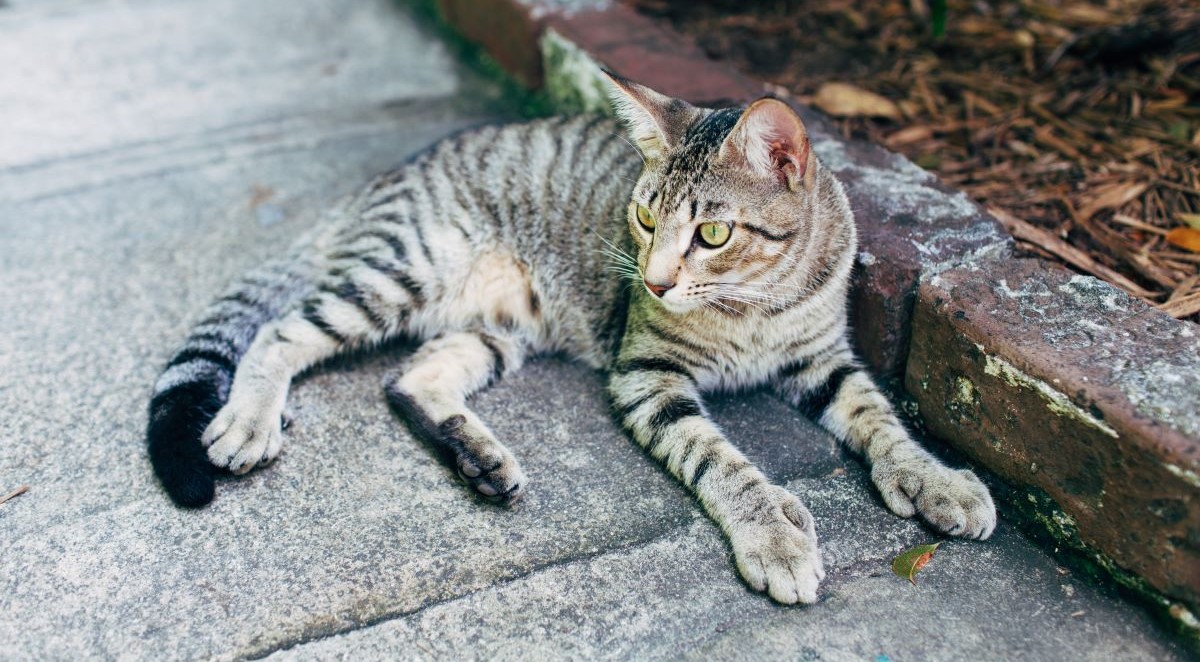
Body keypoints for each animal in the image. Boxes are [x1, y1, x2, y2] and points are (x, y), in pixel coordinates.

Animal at [147, 73, 993, 604]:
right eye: (645, 218)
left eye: (713, 234)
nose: (653, 282)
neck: (754, 305)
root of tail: (383, 181)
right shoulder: (646, 374)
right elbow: (719, 459)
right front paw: (772, 536)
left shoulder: (826, 359)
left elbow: (882, 420)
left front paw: (936, 478)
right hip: (405, 270)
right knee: (282, 330)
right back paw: (249, 418)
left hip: (497, 325)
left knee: (412, 377)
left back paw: (479, 458)